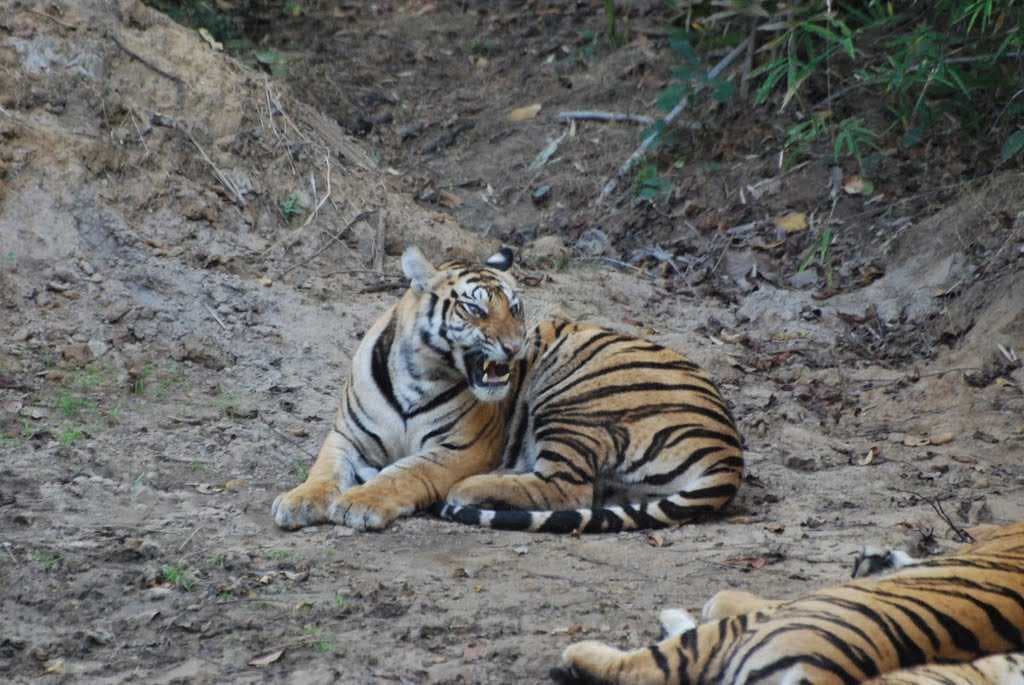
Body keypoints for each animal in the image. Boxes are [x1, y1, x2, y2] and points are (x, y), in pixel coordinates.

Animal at [271, 245, 743, 533]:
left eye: (516, 309)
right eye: (475, 309)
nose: (515, 348)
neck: (416, 374)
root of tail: (730, 454)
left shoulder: (461, 449)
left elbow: (405, 473)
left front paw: (362, 502)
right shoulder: (346, 435)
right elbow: (324, 470)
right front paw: (298, 501)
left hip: (574, 396)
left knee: (567, 488)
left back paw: (473, 487)